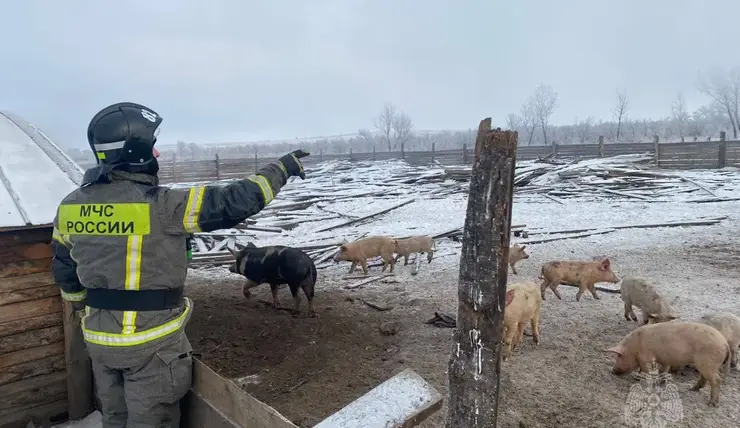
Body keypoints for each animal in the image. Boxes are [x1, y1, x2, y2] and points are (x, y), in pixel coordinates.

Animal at [604, 320, 732, 408]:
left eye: (619, 356)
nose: (613, 371)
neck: (634, 347)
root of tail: (725, 344)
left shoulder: (646, 357)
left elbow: (647, 370)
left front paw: (645, 382)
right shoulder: (663, 360)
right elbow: (663, 370)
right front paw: (661, 382)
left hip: (708, 363)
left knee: (716, 380)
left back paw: (711, 404)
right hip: (706, 364)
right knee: (705, 377)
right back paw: (693, 389)